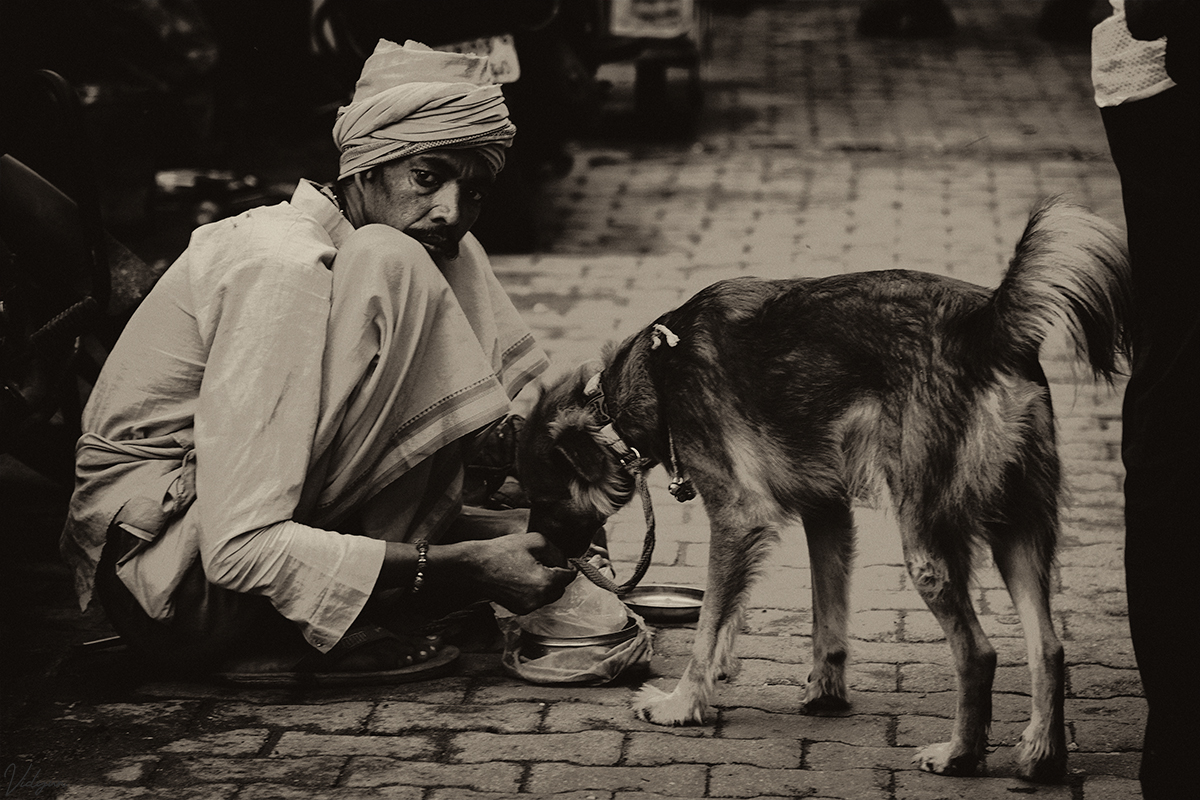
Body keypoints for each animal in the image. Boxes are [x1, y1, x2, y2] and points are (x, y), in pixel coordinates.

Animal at [518, 199, 1132, 782]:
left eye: (543, 501)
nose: (543, 562)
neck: (651, 377)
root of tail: (987, 324)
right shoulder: (826, 508)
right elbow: (819, 615)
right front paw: (822, 690)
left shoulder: (738, 515)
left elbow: (709, 620)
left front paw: (683, 702)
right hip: (1018, 527)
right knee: (1048, 647)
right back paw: (1041, 757)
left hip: (927, 545)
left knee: (978, 654)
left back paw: (960, 755)